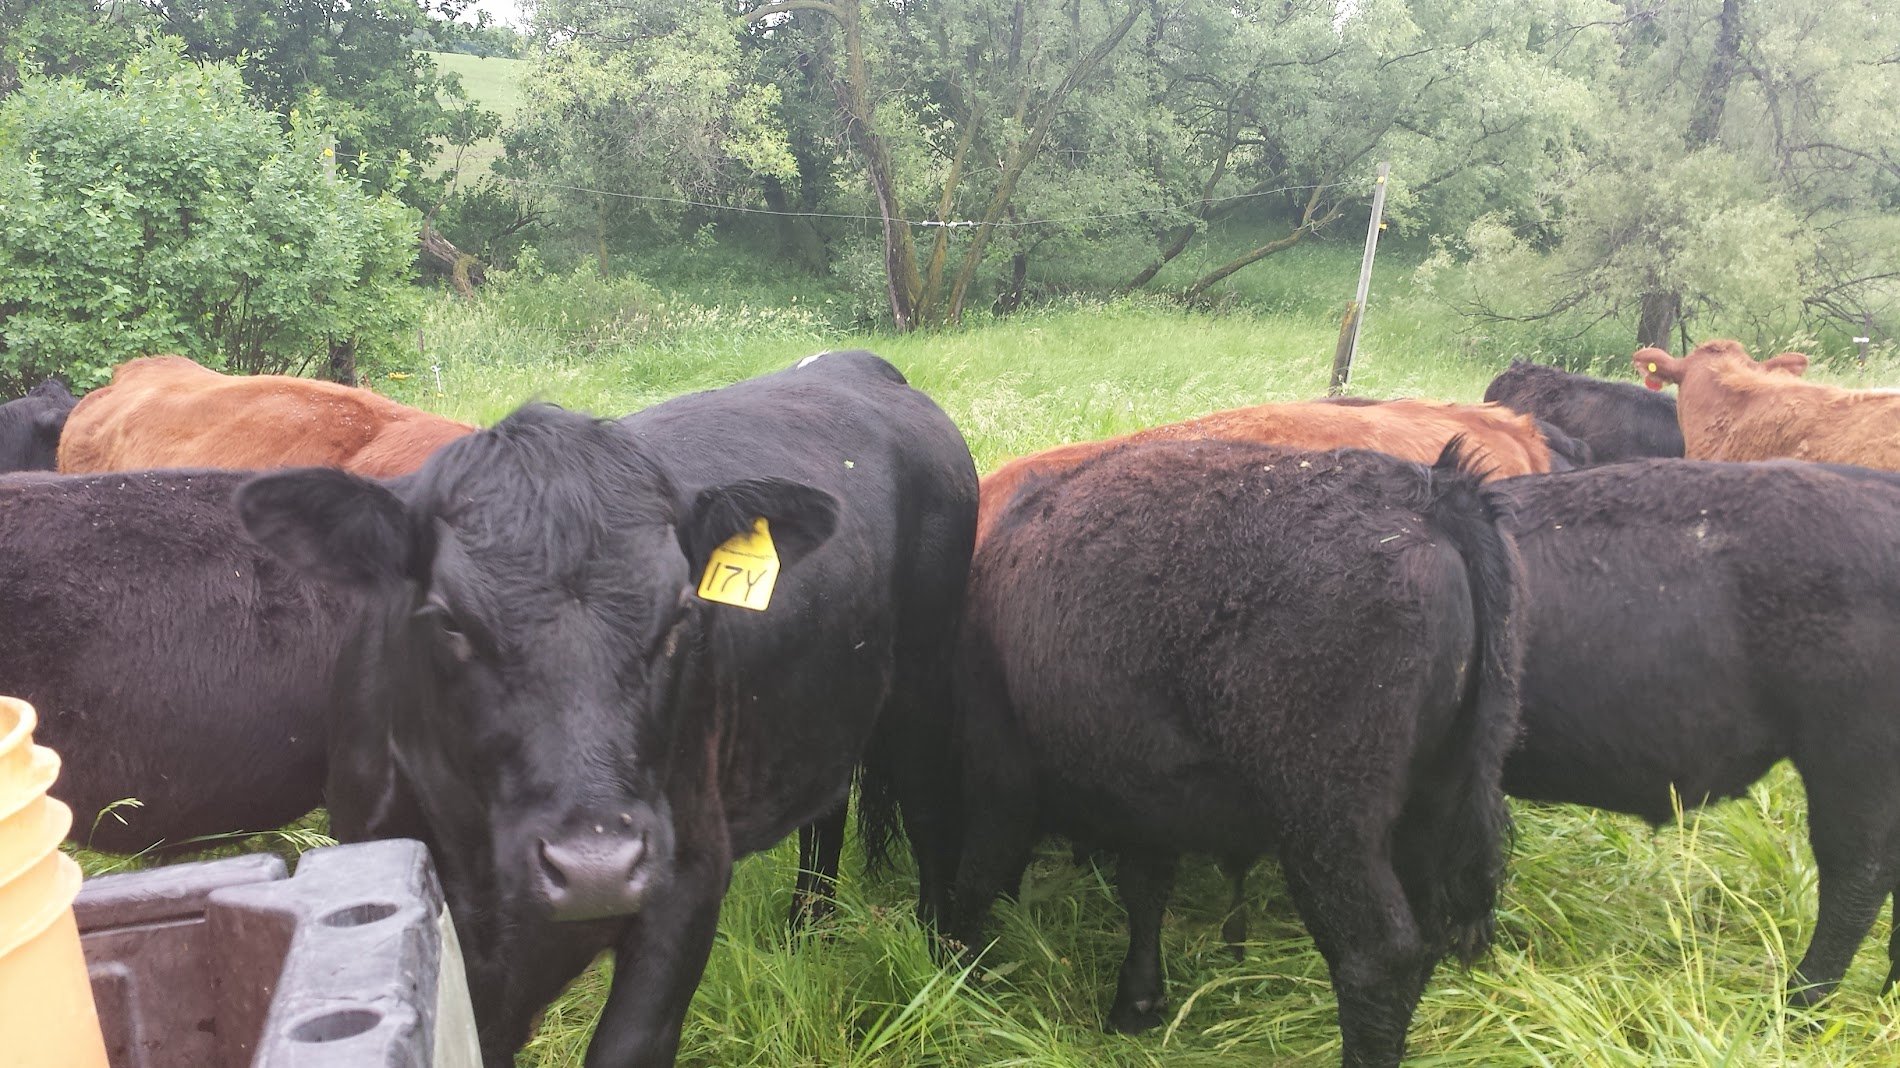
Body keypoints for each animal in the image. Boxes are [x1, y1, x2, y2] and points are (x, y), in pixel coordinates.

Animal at [237, 350, 978, 1067]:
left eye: (682, 614)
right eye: (447, 621)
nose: (596, 867)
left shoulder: (688, 873)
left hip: (922, 685)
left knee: (930, 811)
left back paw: (947, 969)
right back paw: (807, 930)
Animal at [949, 438, 1523, 1068]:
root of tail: (1429, 496)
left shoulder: (998, 782)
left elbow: (974, 875)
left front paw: (955, 972)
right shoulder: (1149, 789)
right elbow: (1144, 887)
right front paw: (1137, 1003)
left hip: (1328, 822)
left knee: (1377, 958)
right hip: (1429, 807)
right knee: (1426, 938)